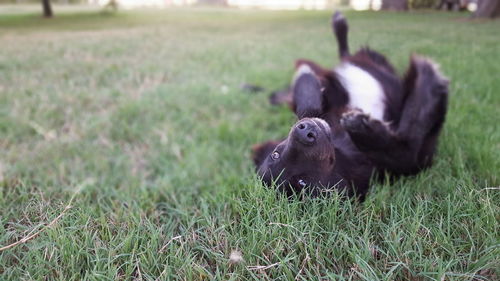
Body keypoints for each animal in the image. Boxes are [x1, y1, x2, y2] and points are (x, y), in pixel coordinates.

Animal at [252, 12, 452, 198]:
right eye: (302, 183)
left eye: (275, 154)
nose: (304, 131)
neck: (342, 143)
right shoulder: (413, 161)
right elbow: (408, 146)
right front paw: (363, 127)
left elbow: (307, 105)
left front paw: (306, 77)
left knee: (346, 55)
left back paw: (339, 25)